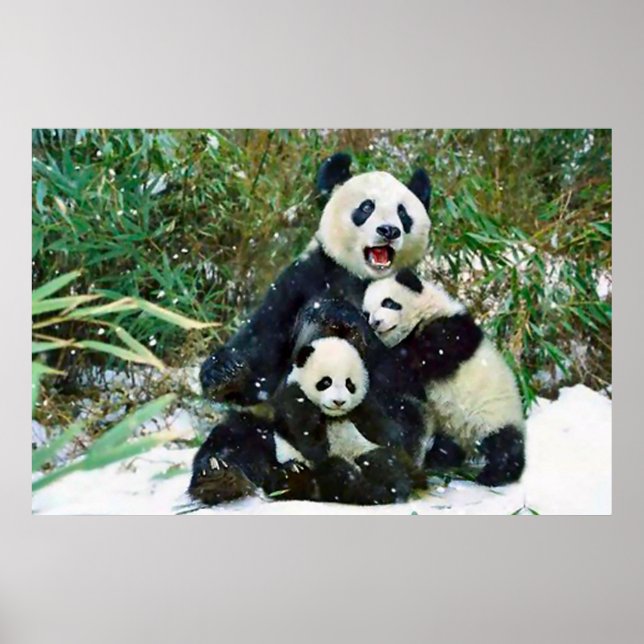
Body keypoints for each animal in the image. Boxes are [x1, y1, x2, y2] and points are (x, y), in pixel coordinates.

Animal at [199, 152, 432, 407]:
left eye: (403, 213)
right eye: (367, 207)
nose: (389, 230)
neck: (361, 276)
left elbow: (411, 383)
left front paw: (340, 313)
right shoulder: (304, 278)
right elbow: (262, 353)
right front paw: (223, 372)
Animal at [362, 269, 526, 486]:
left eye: (388, 303)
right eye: (367, 313)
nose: (375, 323)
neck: (426, 314)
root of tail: (468, 439)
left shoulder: (450, 330)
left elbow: (426, 358)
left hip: (495, 413)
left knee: (504, 444)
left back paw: (496, 474)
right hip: (450, 427)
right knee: (447, 446)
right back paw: (439, 460)